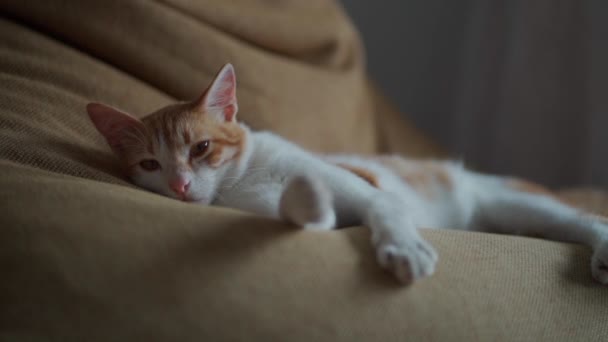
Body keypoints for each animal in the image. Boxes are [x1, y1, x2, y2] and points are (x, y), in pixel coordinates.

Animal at [85, 62, 608, 284]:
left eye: (202, 148)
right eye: (150, 164)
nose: (179, 185)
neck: (244, 177)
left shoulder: (370, 189)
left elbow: (383, 208)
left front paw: (404, 249)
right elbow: (312, 216)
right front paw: (308, 199)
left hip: (513, 201)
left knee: (586, 221)